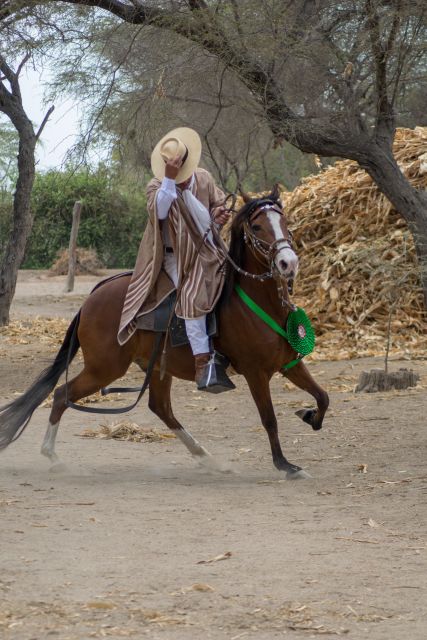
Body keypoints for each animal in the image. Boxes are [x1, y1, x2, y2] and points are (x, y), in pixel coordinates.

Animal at [0, 188, 330, 478]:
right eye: (258, 226)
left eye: (284, 222)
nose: (288, 263)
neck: (255, 301)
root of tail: (91, 298)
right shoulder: (255, 372)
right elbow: (269, 419)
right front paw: (285, 466)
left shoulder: (289, 364)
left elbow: (323, 396)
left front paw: (309, 417)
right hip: (104, 369)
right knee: (61, 395)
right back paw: (53, 458)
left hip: (155, 367)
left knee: (160, 408)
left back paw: (209, 460)